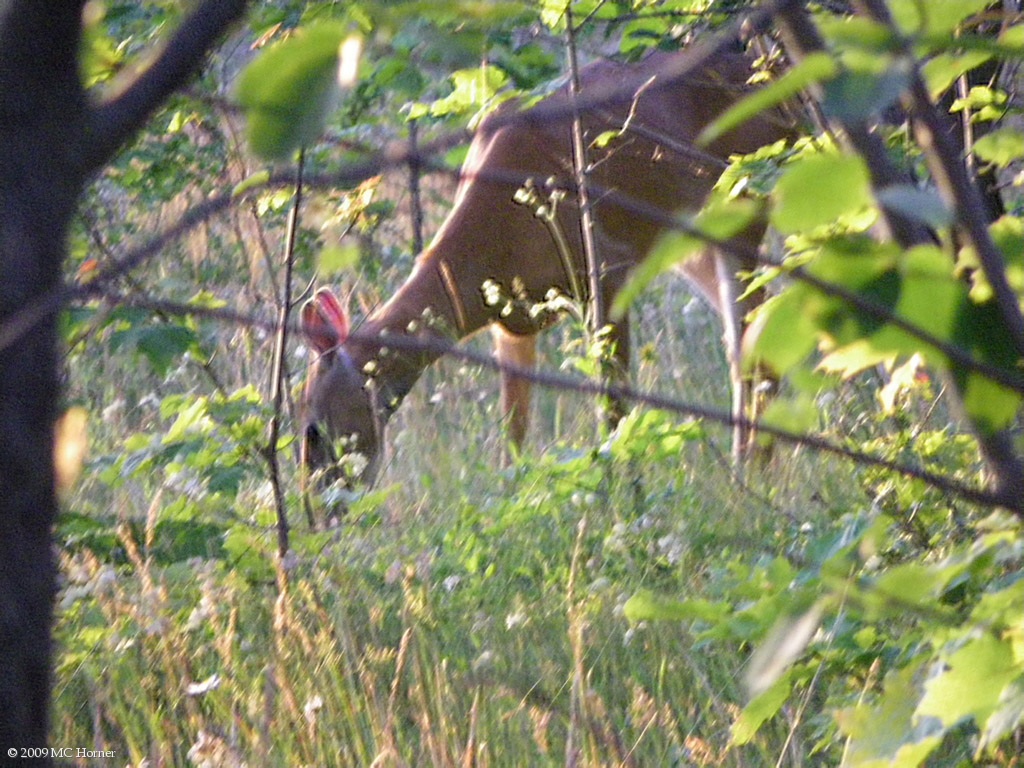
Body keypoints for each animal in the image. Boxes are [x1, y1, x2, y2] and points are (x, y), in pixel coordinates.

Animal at [299, 45, 794, 493]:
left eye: (313, 428)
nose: (321, 510)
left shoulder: (606, 271)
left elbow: (614, 409)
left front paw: (624, 499)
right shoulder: (511, 324)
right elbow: (513, 434)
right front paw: (514, 501)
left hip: (743, 207)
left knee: (753, 343)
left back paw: (752, 475)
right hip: (693, 244)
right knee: (744, 340)